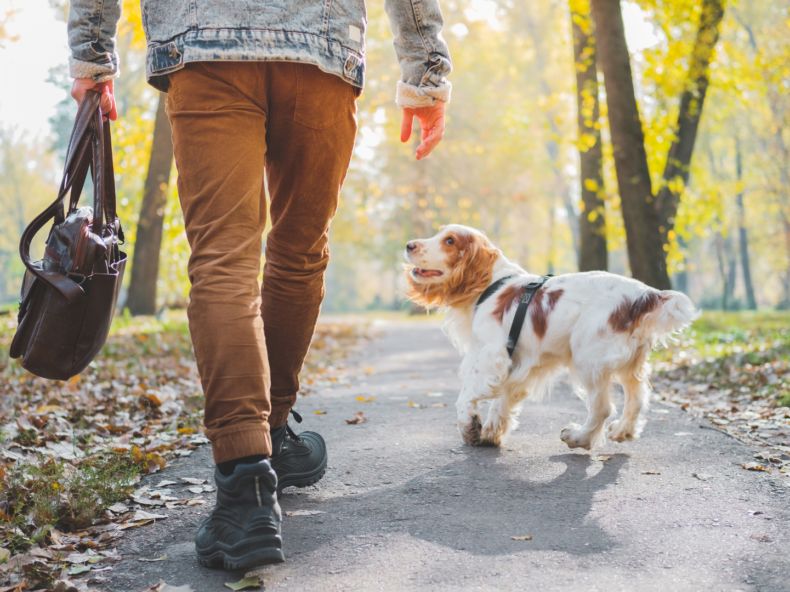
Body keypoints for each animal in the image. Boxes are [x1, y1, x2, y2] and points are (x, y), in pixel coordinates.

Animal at [408, 224, 700, 450]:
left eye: (449, 241)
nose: (410, 245)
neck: (490, 284)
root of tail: (646, 294)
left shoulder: (492, 355)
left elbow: (466, 395)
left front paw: (470, 427)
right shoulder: (519, 363)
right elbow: (502, 401)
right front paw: (491, 432)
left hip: (588, 360)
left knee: (602, 409)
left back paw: (578, 437)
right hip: (632, 363)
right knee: (637, 399)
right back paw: (622, 431)